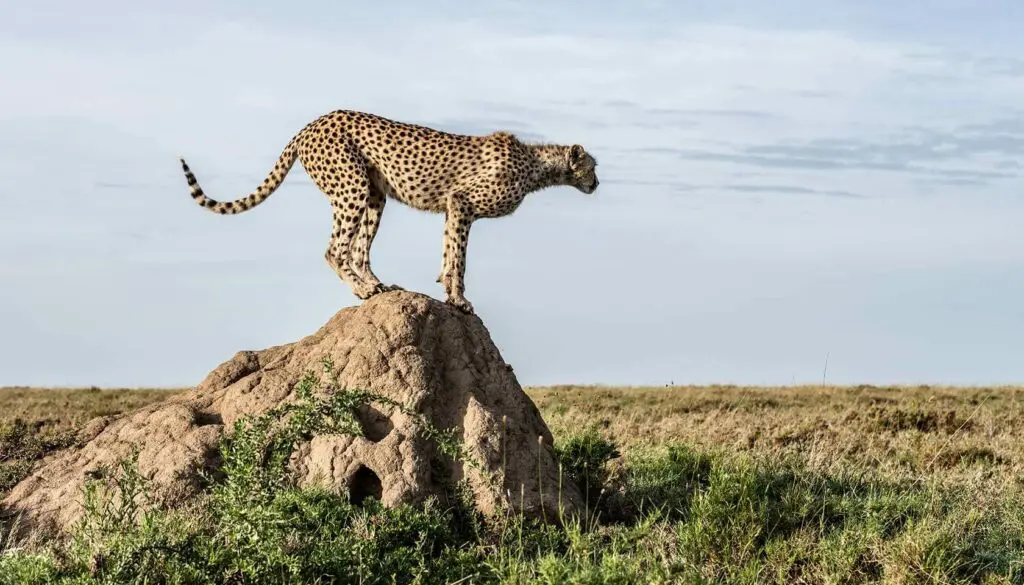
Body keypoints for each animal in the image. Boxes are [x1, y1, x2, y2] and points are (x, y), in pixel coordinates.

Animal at [178, 109, 599, 314]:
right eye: (592, 166)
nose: (597, 184)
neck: (536, 166)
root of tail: (312, 124)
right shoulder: (461, 202)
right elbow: (459, 259)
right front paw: (460, 301)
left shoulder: (453, 209)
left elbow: (448, 252)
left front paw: (447, 291)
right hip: (352, 187)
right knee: (334, 250)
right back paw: (363, 290)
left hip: (374, 195)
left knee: (358, 249)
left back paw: (380, 286)